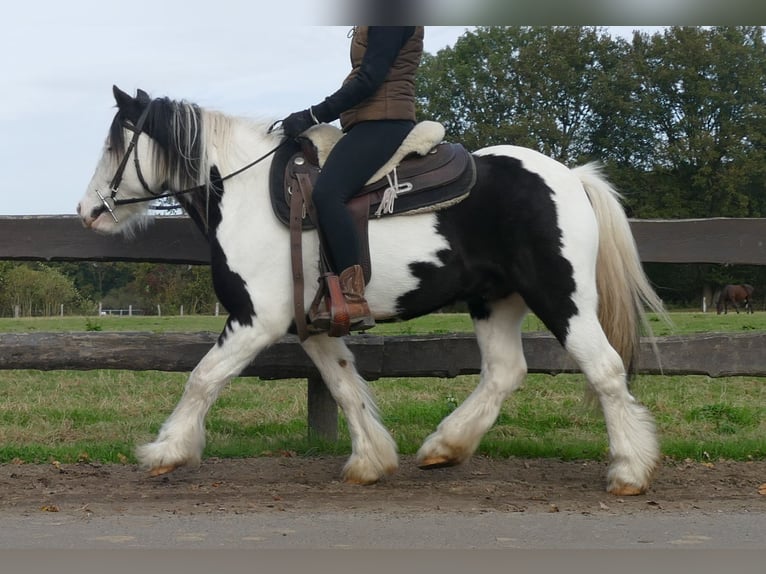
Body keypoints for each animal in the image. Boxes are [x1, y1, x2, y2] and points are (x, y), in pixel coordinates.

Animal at [75, 88, 668, 498]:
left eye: (112, 143)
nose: (86, 212)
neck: (245, 195)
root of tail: (570, 177)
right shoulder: (309, 324)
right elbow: (343, 385)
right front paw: (371, 461)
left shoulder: (256, 319)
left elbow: (202, 378)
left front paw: (166, 450)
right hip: (494, 300)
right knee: (504, 372)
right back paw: (444, 447)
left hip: (561, 296)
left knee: (605, 369)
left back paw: (629, 471)